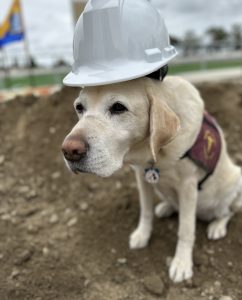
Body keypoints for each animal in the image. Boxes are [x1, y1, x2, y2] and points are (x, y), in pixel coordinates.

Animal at [61, 76, 241, 282]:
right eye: (79, 107)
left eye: (118, 107)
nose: (69, 151)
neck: (156, 155)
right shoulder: (142, 176)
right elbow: (145, 212)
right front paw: (142, 235)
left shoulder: (188, 186)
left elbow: (186, 229)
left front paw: (181, 263)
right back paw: (167, 207)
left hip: (233, 183)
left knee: (227, 212)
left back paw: (217, 226)